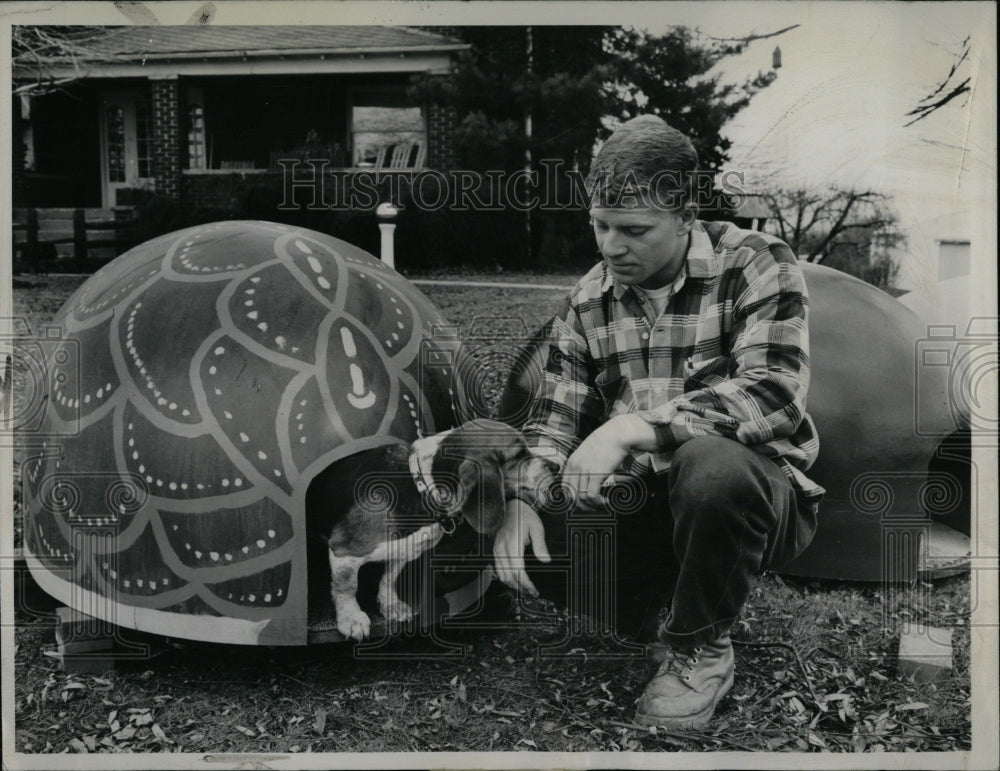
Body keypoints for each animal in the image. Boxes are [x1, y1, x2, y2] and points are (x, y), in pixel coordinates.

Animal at [306, 420, 556, 644]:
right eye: (519, 454)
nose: (556, 467)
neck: (423, 487)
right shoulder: (344, 550)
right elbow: (347, 587)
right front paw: (351, 618)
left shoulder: (404, 549)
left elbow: (389, 578)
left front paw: (391, 605)